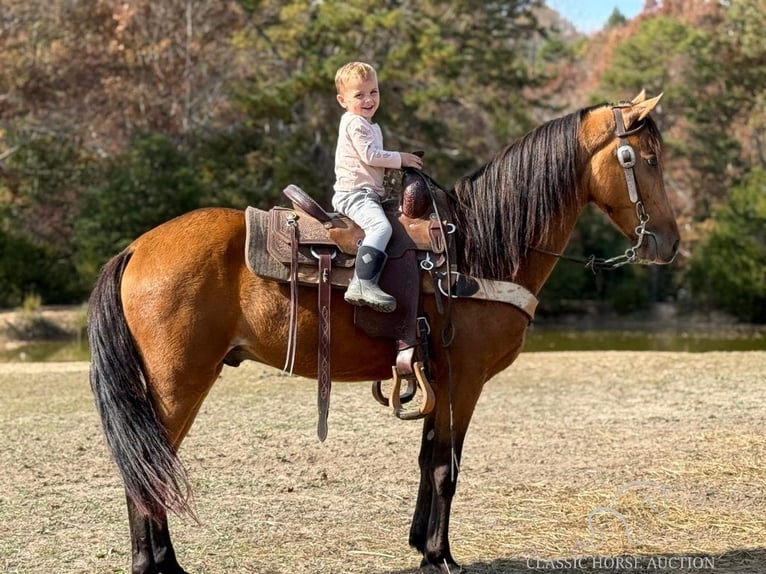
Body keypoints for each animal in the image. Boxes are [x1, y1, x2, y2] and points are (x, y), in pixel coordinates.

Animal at [87, 92, 680, 572]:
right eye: (644, 159)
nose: (668, 244)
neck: (476, 249)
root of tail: (136, 247)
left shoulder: (437, 377)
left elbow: (426, 459)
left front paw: (421, 544)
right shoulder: (464, 380)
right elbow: (445, 467)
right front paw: (441, 557)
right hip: (178, 383)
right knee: (147, 468)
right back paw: (156, 565)